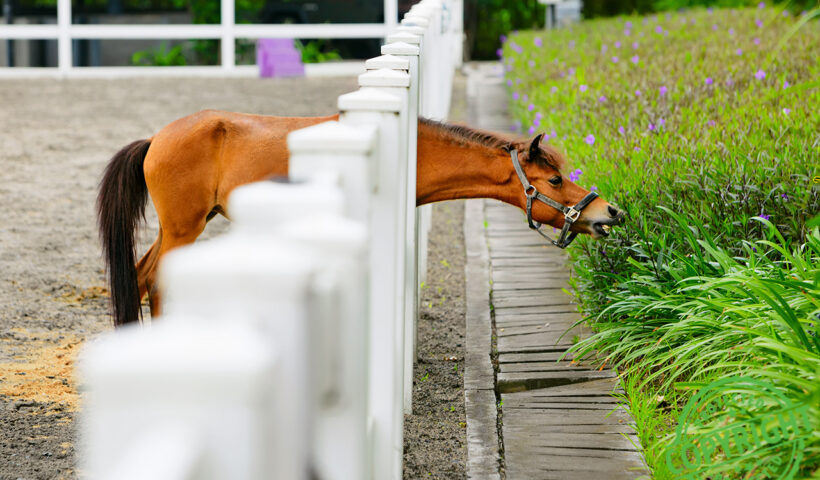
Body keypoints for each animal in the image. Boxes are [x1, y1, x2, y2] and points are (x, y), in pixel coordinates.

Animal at [97, 109, 620, 326]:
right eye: (555, 180)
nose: (608, 211)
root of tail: (156, 138)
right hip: (183, 228)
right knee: (157, 282)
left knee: (139, 278)